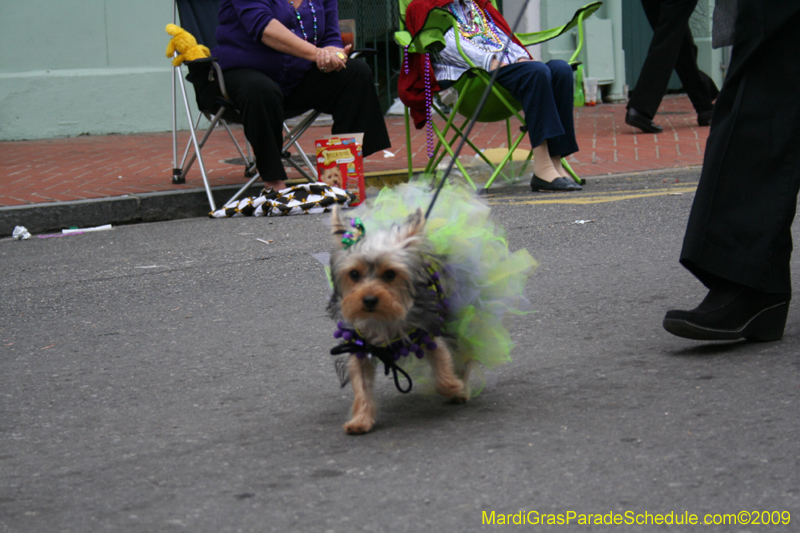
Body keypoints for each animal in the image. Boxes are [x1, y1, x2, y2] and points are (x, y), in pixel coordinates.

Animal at [330, 204, 472, 432]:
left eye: (390, 274)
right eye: (354, 274)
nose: (368, 299)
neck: (382, 319)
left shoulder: (428, 333)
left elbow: (442, 373)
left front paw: (457, 388)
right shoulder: (361, 345)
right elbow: (361, 385)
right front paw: (360, 420)